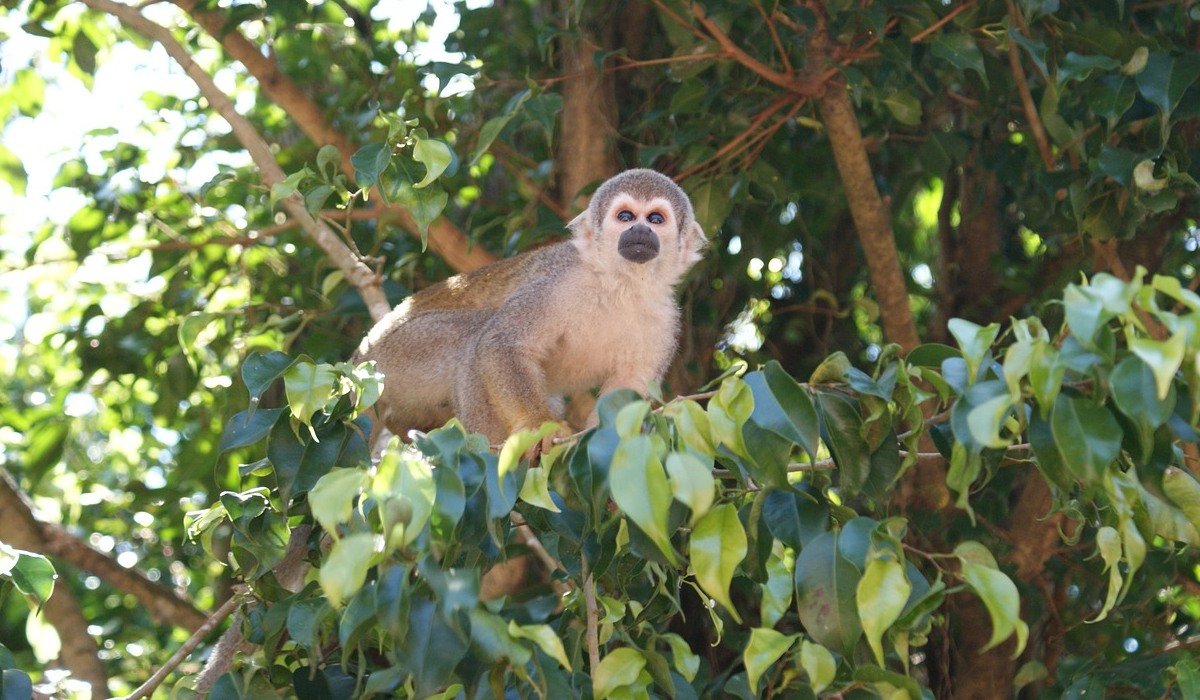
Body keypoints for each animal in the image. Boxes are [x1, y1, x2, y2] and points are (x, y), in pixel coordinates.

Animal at [353, 168, 707, 449]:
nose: (640, 230)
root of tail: (358, 359)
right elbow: (501, 344)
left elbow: (627, 386)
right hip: (395, 358)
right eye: (625, 217)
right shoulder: (558, 283)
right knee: (475, 335)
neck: (620, 286)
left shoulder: (666, 322)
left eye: (656, 219)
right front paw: (539, 427)